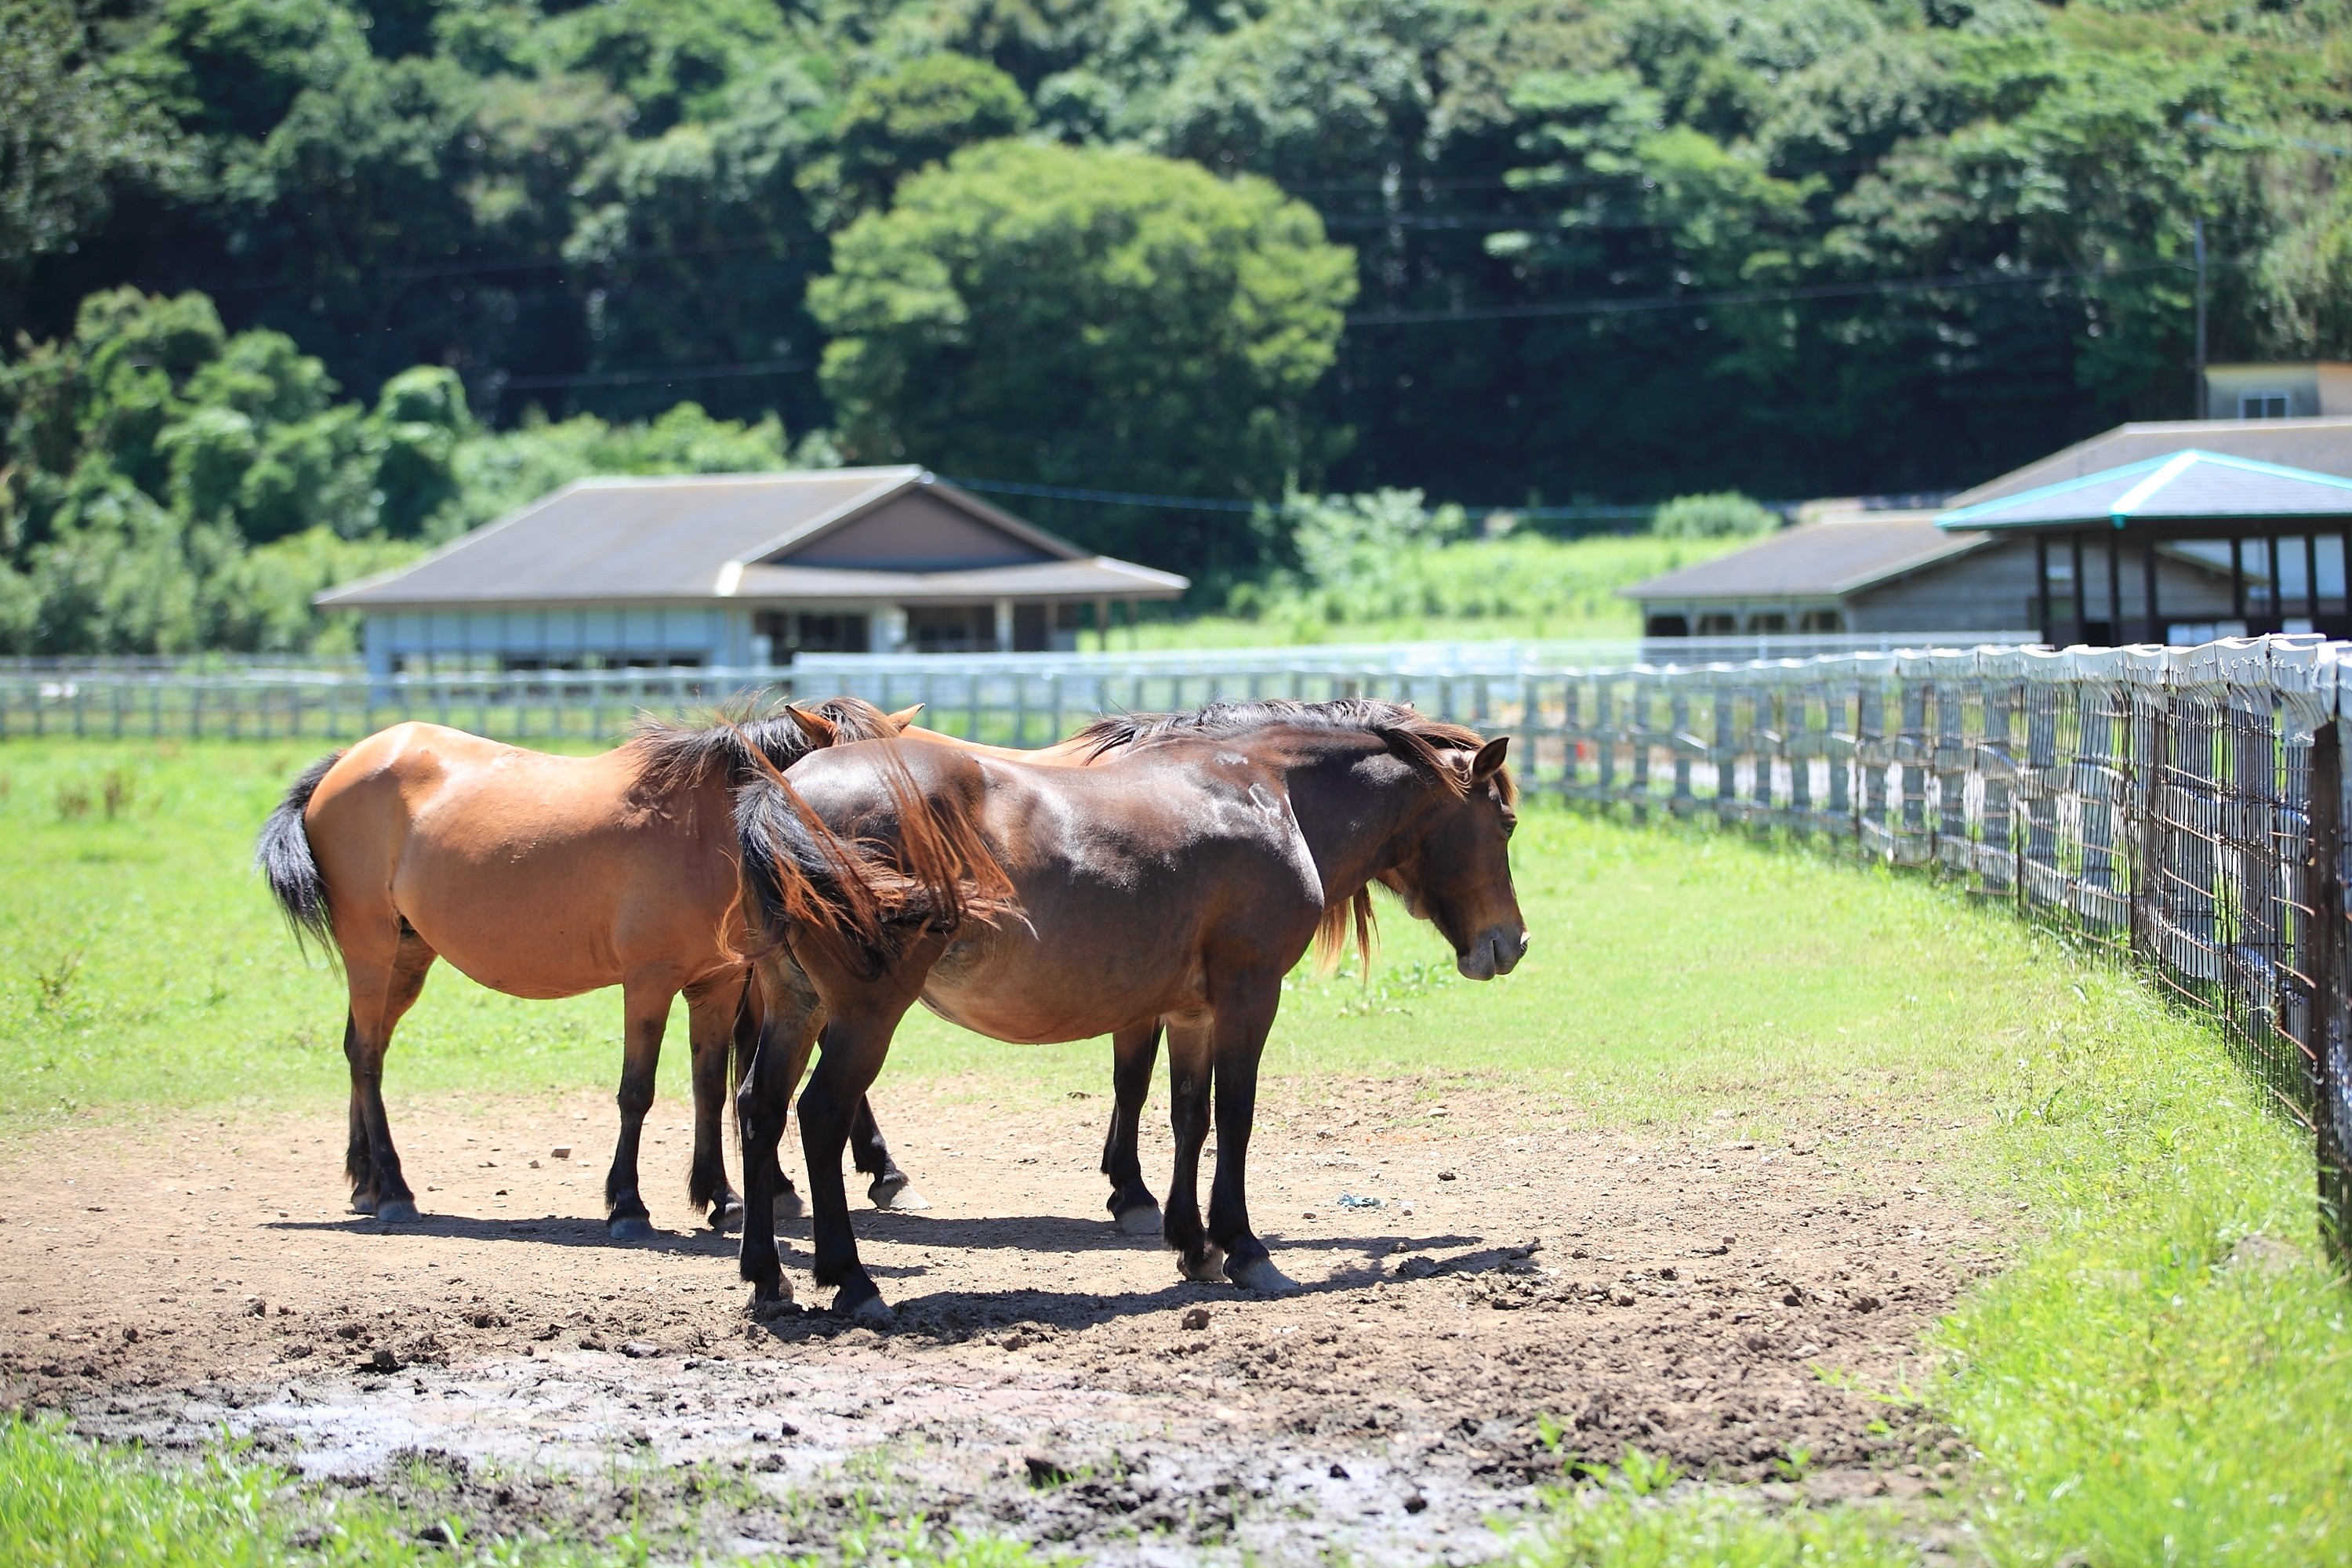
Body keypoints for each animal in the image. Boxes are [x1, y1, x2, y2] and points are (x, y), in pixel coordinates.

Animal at [255, 700, 917, 1241]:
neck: (703, 829)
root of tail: (347, 761)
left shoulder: (719, 983)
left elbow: (707, 1086)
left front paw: (720, 1197)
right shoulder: (649, 982)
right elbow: (637, 1092)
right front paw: (628, 1205)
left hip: (405, 956)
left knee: (360, 1048)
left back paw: (365, 1182)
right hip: (370, 947)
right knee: (367, 1058)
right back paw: (392, 1189)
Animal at [724, 700, 1524, 1316]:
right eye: (1507, 823)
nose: (1510, 943)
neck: (1264, 792)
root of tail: (789, 794)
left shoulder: (1190, 1011)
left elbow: (1189, 1116)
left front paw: (1192, 1244)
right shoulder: (1249, 993)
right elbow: (1236, 1116)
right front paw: (1244, 1249)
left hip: (796, 1005)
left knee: (759, 1108)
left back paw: (767, 1277)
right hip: (863, 1016)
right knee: (819, 1115)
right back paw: (852, 1281)